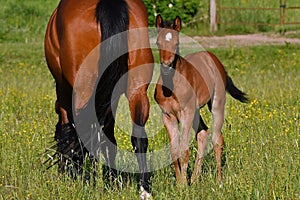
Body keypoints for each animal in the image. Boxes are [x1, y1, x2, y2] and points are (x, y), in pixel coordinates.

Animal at [155, 14, 248, 185]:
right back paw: (195, 178)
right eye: (158, 42)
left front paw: (183, 186)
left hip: (216, 104)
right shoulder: (167, 115)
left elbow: (183, 150)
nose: (166, 66)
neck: (172, 85)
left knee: (217, 140)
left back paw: (219, 180)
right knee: (203, 132)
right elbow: (174, 151)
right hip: (196, 110)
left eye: (176, 43)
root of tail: (213, 59)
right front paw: (180, 183)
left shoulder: (186, 113)